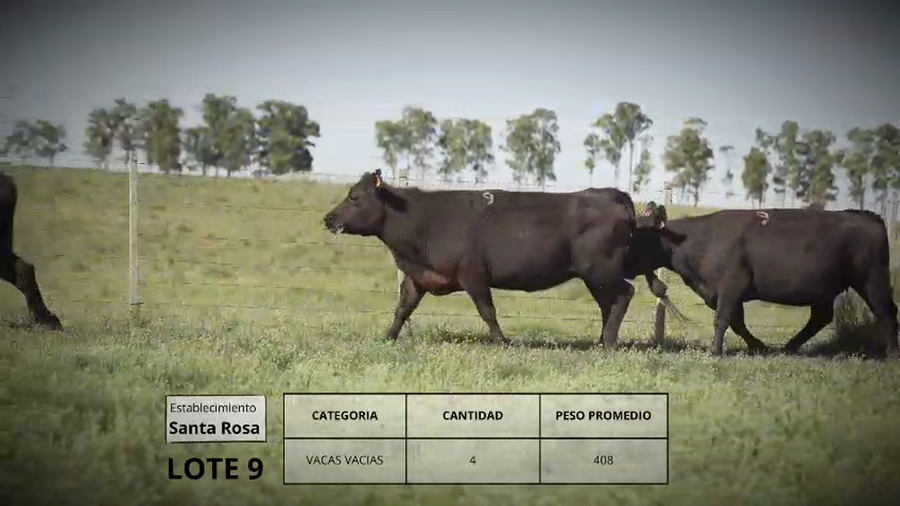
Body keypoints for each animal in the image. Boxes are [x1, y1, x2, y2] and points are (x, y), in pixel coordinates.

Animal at [322, 169, 671, 349]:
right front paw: (387, 337)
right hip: (594, 276)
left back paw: (609, 342)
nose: (328, 218)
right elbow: (402, 308)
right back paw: (601, 340)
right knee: (607, 304)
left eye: (355, 197)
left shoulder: (473, 274)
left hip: (601, 270)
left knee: (624, 294)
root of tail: (610, 194)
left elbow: (487, 311)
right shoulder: (417, 276)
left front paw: (502, 341)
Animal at [626, 201, 899, 357]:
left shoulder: (731, 286)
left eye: (639, 233)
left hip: (872, 279)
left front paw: (715, 351)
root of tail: (866, 216)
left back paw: (892, 354)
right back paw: (788, 348)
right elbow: (737, 323)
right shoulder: (726, 292)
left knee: (886, 311)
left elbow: (722, 320)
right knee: (820, 317)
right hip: (826, 289)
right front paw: (759, 347)